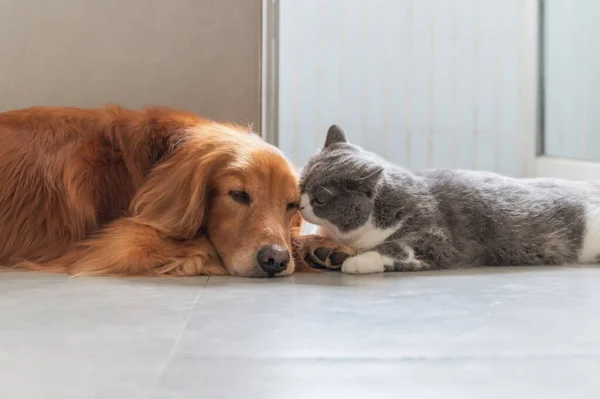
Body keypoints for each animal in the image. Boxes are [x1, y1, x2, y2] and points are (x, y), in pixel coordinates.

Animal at [0, 108, 354, 280]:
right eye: (238, 194)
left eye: (291, 205)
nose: (275, 260)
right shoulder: (118, 244)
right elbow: (200, 245)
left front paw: (323, 247)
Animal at [302, 126, 600, 276]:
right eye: (302, 183)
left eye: (321, 199)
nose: (302, 203)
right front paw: (329, 254)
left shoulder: (438, 239)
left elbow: (397, 248)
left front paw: (357, 261)